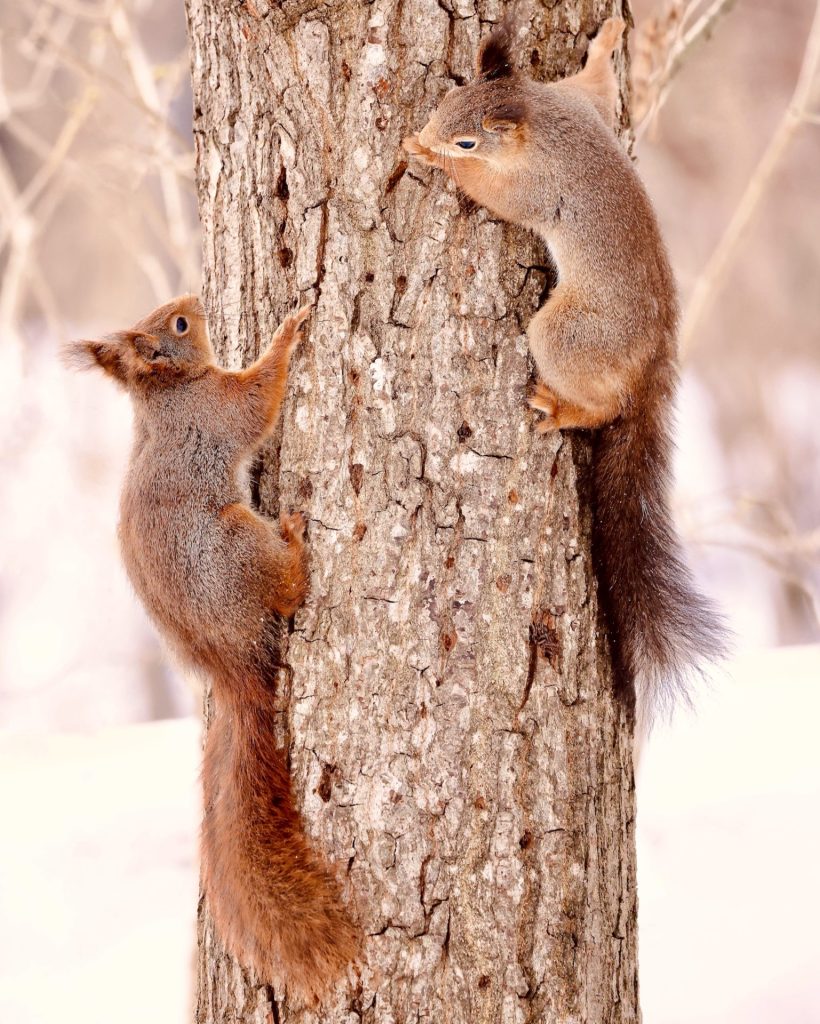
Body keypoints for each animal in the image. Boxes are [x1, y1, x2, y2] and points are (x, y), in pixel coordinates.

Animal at [72, 296, 358, 999]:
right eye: (177, 326)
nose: (195, 301)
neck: (168, 392)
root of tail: (228, 664)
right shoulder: (220, 408)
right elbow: (259, 398)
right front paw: (289, 328)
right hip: (237, 547)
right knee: (283, 588)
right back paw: (296, 544)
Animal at [403, 18, 724, 720]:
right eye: (447, 97)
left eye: (467, 138)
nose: (429, 134)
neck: (544, 123)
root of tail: (652, 360)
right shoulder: (582, 104)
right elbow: (597, 83)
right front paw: (609, 39)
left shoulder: (531, 189)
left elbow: (493, 195)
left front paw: (430, 159)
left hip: (563, 335)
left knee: (601, 406)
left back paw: (559, 408)